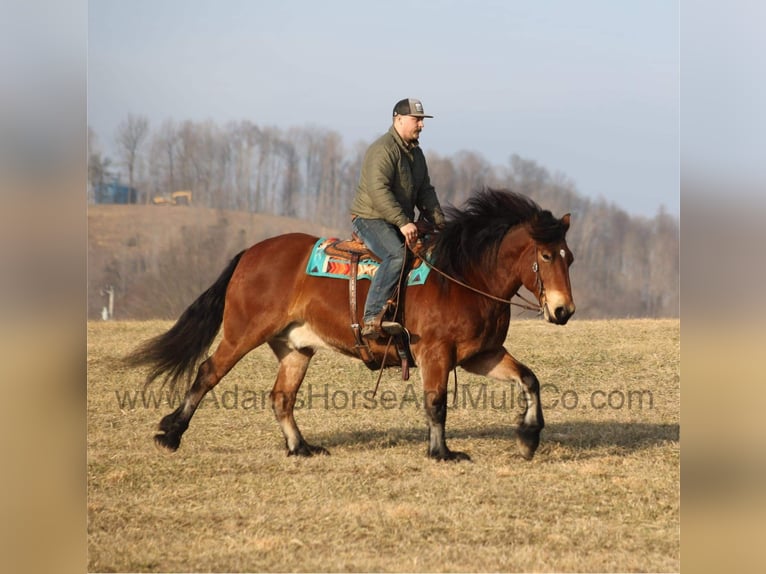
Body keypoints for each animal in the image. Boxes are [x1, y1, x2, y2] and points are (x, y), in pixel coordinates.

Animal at [126, 188, 575, 461]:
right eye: (546, 256)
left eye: (568, 257)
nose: (563, 311)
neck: (462, 276)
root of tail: (251, 253)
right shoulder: (435, 353)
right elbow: (436, 403)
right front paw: (442, 453)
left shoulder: (482, 355)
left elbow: (530, 379)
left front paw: (529, 436)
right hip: (242, 333)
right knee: (207, 372)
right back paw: (171, 433)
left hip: (295, 347)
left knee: (281, 398)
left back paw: (300, 447)